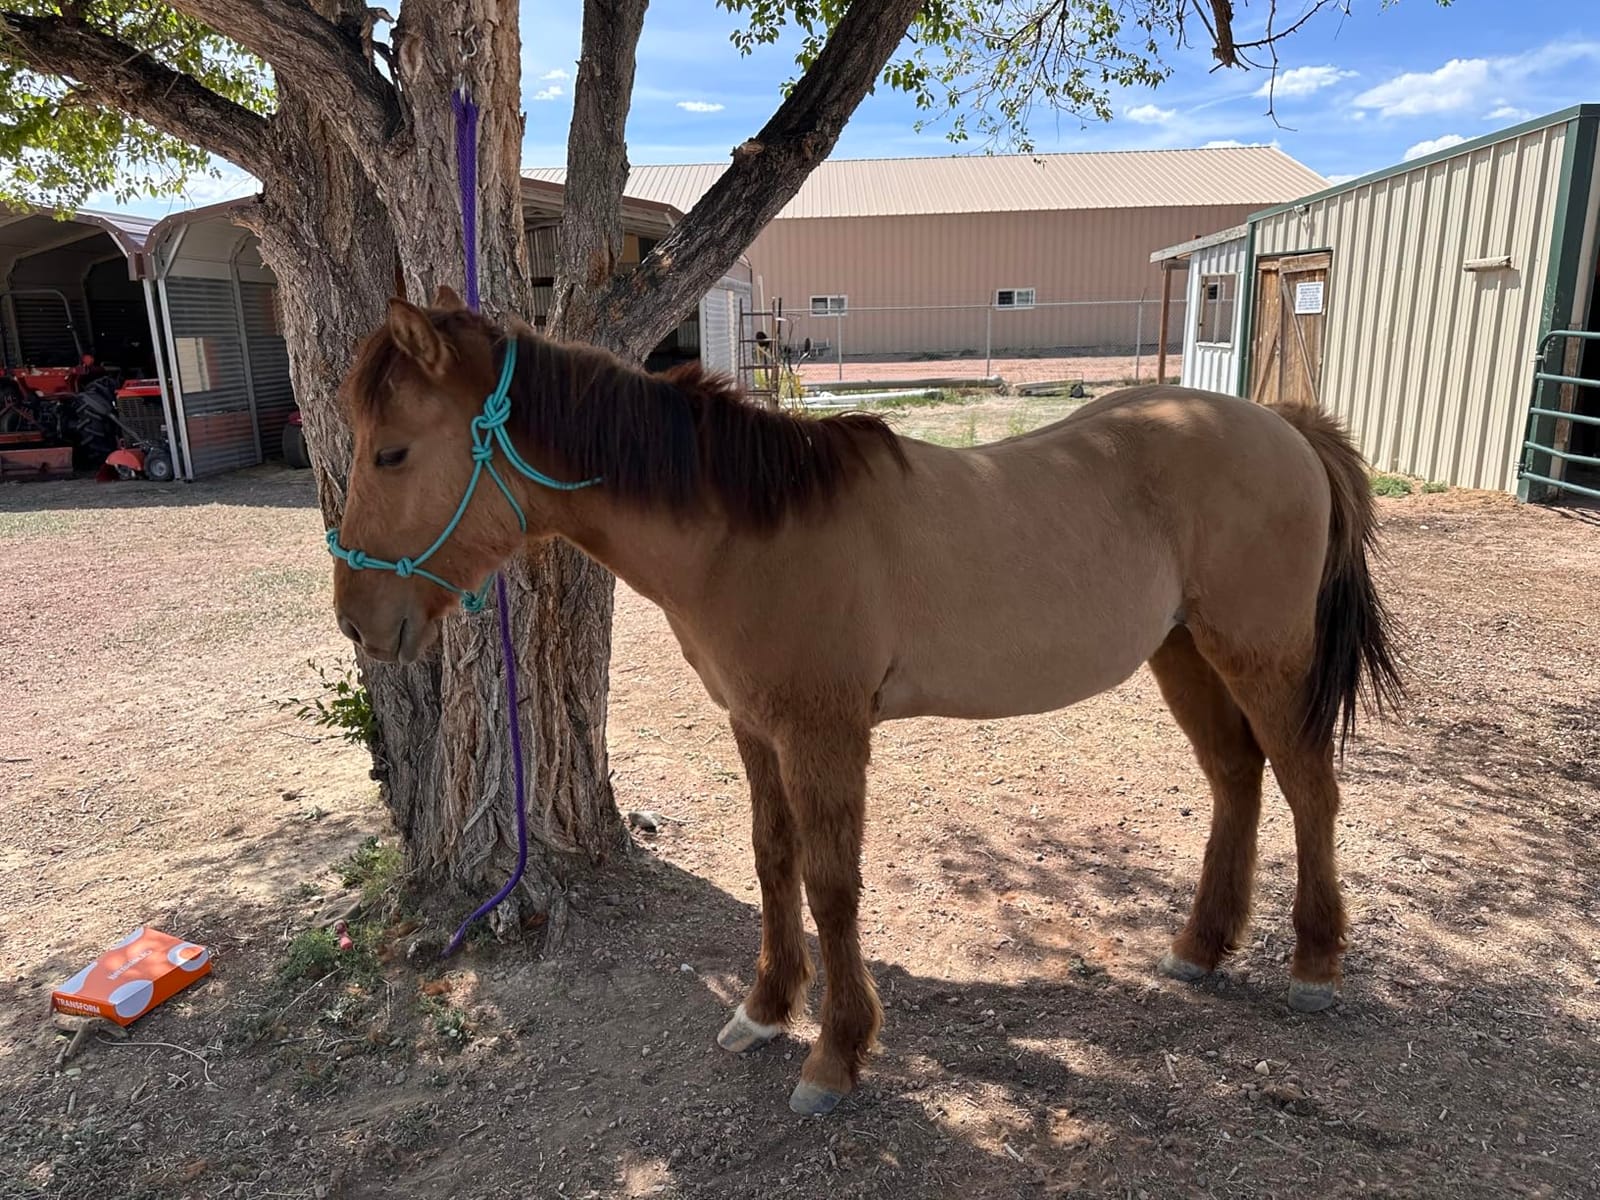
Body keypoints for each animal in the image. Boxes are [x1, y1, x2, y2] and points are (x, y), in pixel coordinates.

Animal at [329, 286, 1402, 1117]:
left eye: (392, 453)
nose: (358, 621)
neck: (744, 530)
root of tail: (1282, 425)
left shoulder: (824, 733)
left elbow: (831, 885)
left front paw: (834, 1055)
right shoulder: (754, 728)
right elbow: (772, 863)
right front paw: (765, 1011)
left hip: (1261, 655)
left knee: (1308, 787)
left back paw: (1314, 966)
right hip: (1183, 654)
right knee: (1237, 780)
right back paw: (1200, 947)